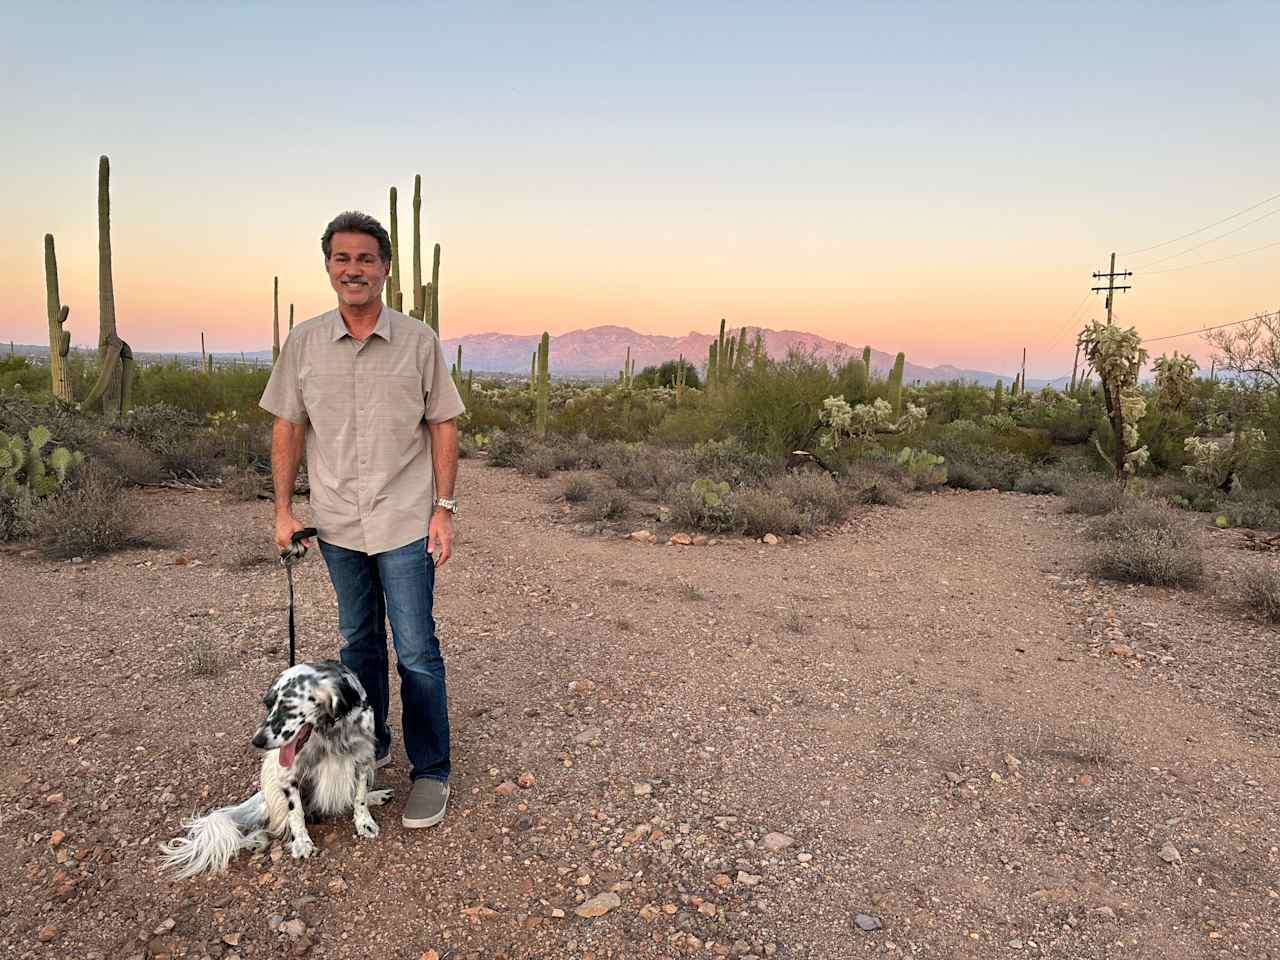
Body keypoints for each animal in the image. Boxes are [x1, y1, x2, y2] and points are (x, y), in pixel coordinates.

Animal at [156, 660, 384, 880]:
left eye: (288, 707)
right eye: (267, 704)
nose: (257, 741)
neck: (329, 729)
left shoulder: (363, 757)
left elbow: (359, 797)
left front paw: (364, 821)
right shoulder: (287, 772)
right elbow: (296, 812)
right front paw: (302, 842)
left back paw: (377, 796)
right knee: (265, 826)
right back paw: (254, 841)